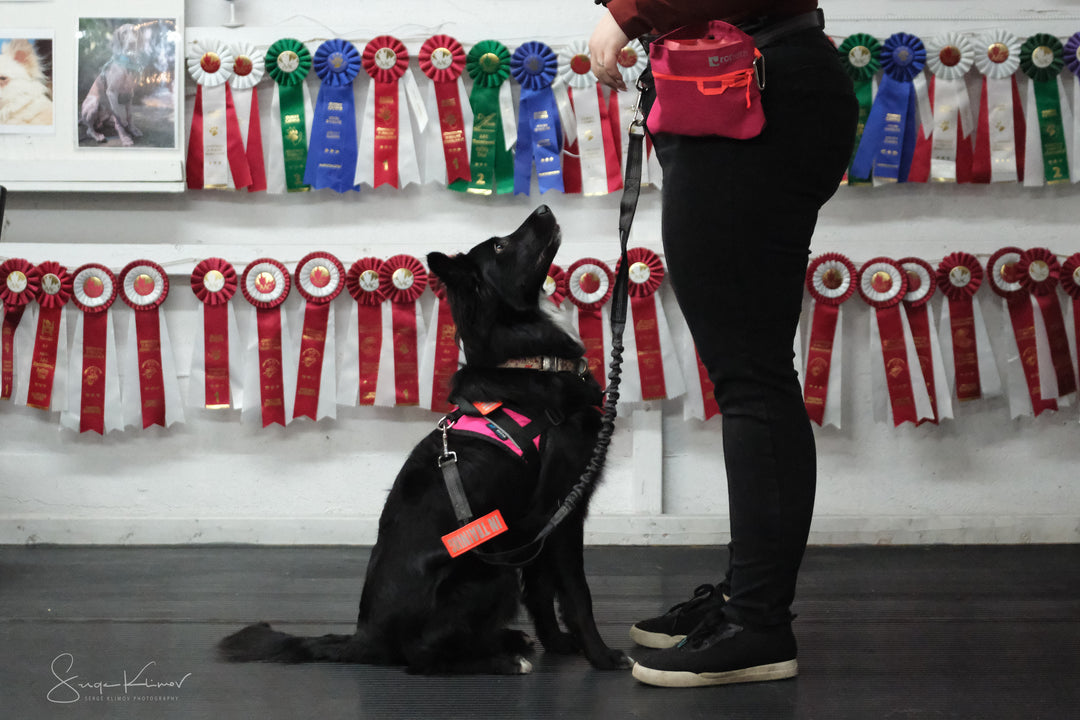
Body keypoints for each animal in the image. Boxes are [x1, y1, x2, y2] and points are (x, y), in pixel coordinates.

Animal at [221, 207, 630, 677]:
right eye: (500, 246)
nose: (544, 209)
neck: (527, 361)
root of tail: (366, 638)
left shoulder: (537, 525)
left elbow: (543, 592)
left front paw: (559, 644)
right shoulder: (561, 508)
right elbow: (577, 595)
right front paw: (601, 656)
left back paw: (508, 640)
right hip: (488, 571)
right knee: (421, 658)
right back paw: (501, 660)